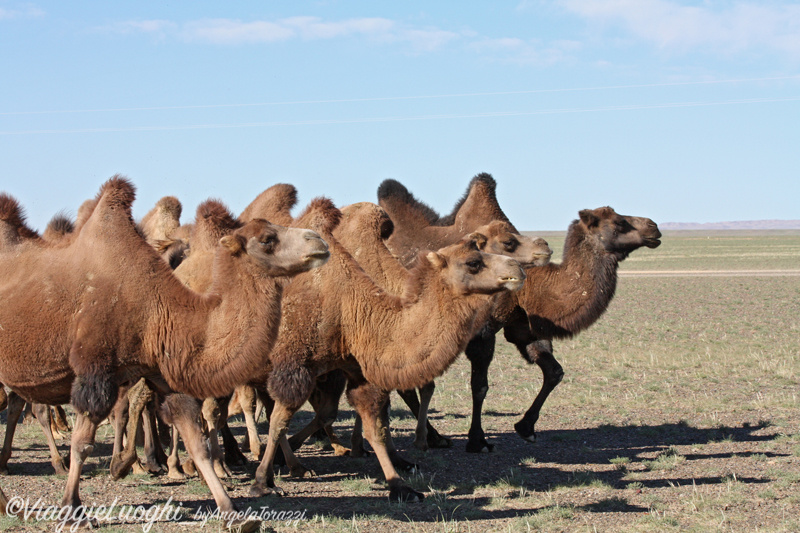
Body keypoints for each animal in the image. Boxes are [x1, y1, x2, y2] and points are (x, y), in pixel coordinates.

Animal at [0, 177, 328, 524]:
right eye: (267, 239)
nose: (318, 240)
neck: (155, 309)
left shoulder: (164, 372)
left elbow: (196, 443)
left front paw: (233, 512)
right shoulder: (94, 371)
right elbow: (82, 445)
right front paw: (72, 508)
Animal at [248, 200, 524, 502]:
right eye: (473, 262)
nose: (517, 268)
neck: (352, 309)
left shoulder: (358, 370)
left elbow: (375, 427)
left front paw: (400, 484)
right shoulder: (296, 365)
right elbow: (279, 422)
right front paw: (261, 482)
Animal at [380, 172, 664, 450]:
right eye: (619, 223)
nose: (653, 226)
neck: (536, 285)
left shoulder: (522, 326)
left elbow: (554, 372)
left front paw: (525, 427)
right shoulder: (484, 330)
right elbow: (480, 386)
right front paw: (478, 440)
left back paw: (434, 437)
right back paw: (433, 436)